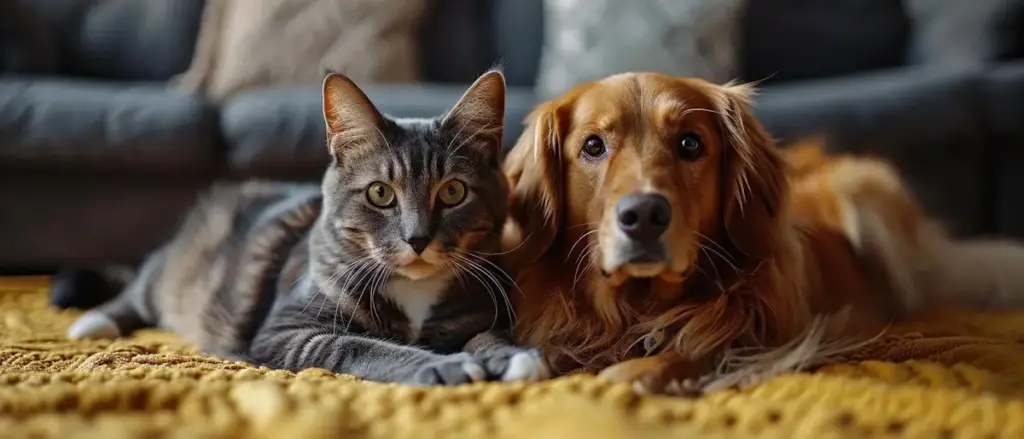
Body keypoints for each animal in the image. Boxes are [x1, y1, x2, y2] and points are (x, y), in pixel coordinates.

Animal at [61, 70, 552, 384]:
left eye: (452, 192)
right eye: (380, 193)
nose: (417, 239)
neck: (415, 290)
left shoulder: (478, 312)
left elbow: (489, 334)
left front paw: (513, 356)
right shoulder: (286, 331)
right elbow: (362, 347)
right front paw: (444, 367)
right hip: (172, 272)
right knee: (138, 288)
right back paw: (93, 323)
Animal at [499, 72, 1024, 392]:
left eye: (690, 144)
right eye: (593, 146)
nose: (645, 214)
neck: (640, 305)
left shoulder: (768, 333)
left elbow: (689, 351)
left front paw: (640, 370)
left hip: (866, 192)